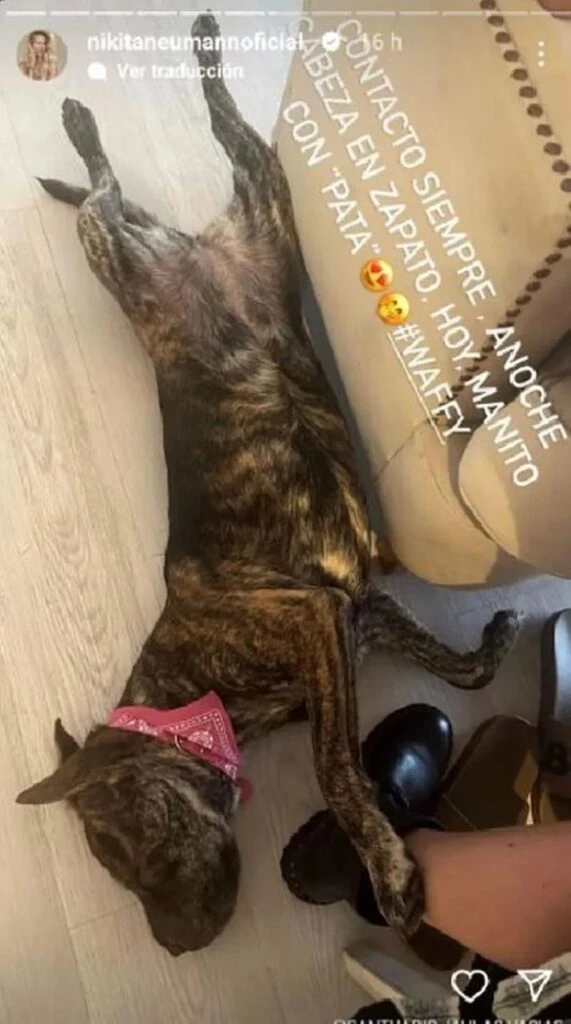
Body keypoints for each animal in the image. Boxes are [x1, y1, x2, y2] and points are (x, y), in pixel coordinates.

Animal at [16, 14, 520, 956]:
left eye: (120, 842)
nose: (173, 947)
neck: (186, 696)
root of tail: (191, 248)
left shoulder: (316, 620)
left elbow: (332, 768)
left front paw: (387, 871)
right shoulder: (359, 617)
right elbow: (456, 672)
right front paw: (495, 644)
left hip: (124, 248)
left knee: (121, 186)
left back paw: (108, 110)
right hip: (266, 208)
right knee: (182, 166)